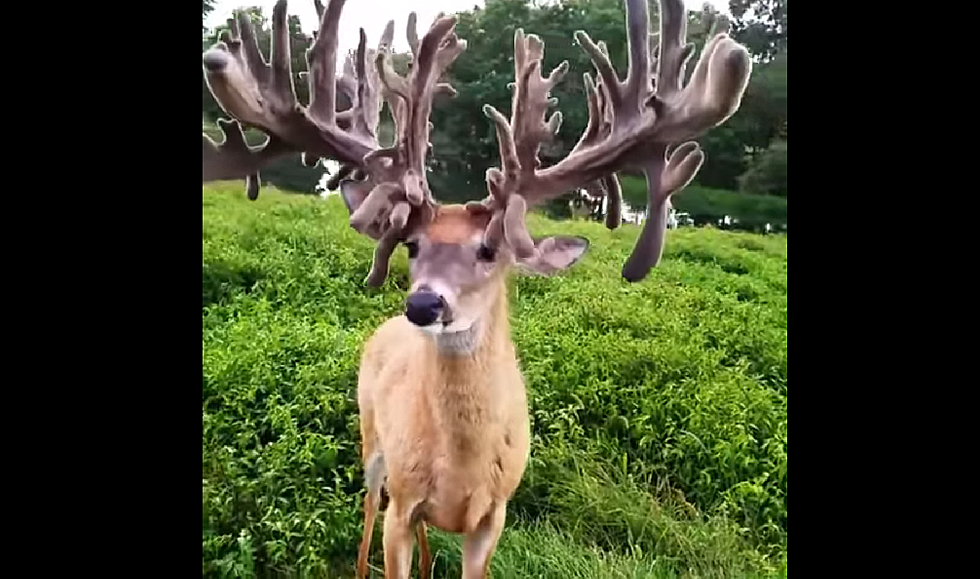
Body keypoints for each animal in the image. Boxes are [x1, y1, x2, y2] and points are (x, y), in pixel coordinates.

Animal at [201, 2, 752, 576]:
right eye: (411, 245)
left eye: (490, 251)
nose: (424, 303)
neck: (460, 470)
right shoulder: (402, 502)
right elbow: (389, 534)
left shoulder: (495, 514)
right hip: (372, 440)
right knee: (368, 509)